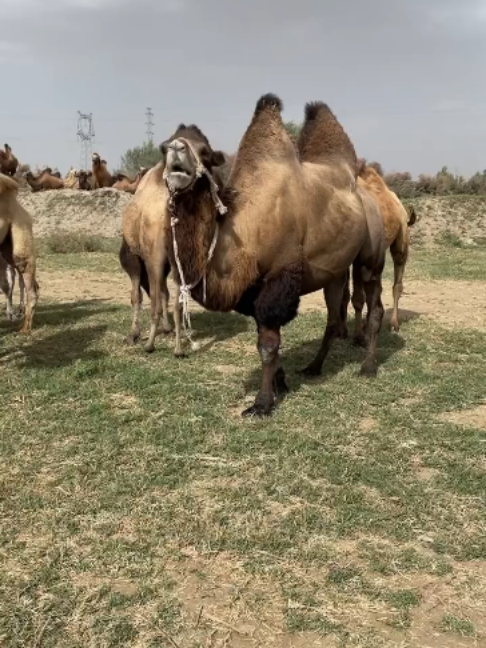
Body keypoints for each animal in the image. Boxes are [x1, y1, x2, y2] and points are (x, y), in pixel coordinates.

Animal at [156, 94, 386, 417]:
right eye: (163, 147)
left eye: (204, 151)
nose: (176, 150)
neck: (244, 228)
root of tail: (367, 195)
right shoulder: (253, 288)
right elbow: (265, 338)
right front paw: (281, 382)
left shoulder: (280, 275)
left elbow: (267, 345)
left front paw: (262, 403)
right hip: (335, 271)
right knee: (332, 317)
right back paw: (313, 367)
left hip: (370, 256)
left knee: (374, 305)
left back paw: (367, 367)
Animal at [338, 158, 417, 340]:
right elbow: (345, 294)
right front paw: (342, 331)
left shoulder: (358, 258)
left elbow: (358, 297)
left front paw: (358, 336)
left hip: (401, 238)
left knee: (397, 282)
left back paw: (393, 324)